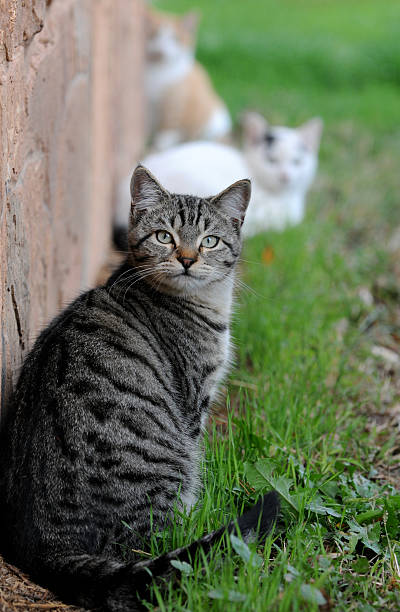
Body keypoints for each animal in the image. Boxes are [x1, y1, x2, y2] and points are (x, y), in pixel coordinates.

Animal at [0, 167, 278, 612]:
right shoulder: (193, 404)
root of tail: (48, 548)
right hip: (168, 465)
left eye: (210, 240)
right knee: (158, 540)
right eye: (164, 236)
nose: (187, 258)